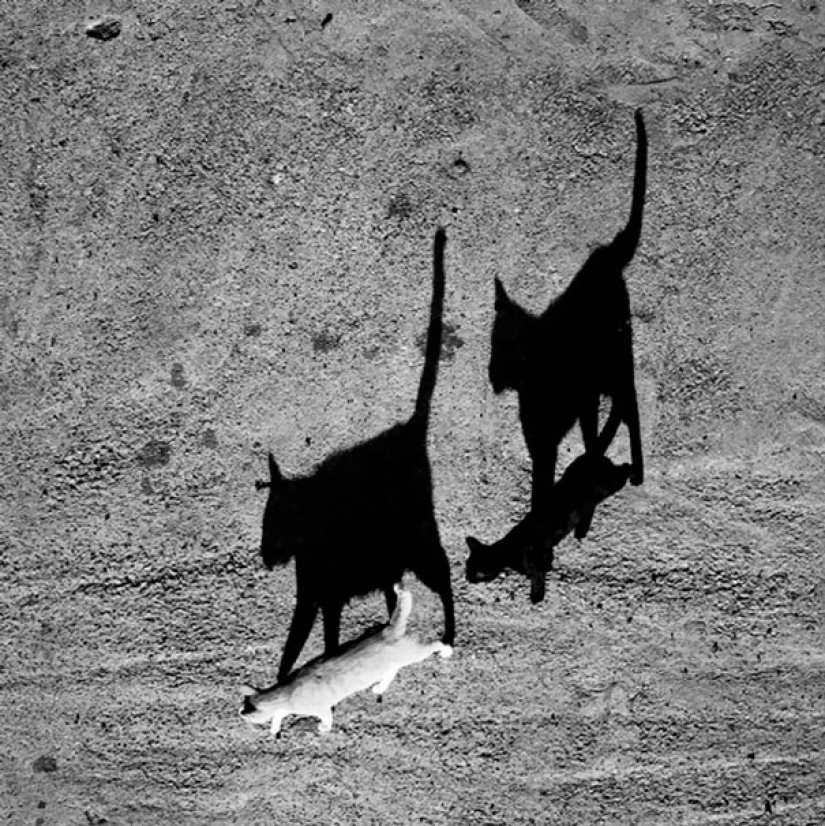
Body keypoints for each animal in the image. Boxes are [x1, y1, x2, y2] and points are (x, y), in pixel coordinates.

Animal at [240, 584, 450, 736]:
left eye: (245, 715)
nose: (239, 714)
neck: (287, 691)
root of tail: (389, 629)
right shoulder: (287, 706)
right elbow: (279, 714)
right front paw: (275, 728)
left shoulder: (322, 709)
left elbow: (326, 719)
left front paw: (324, 729)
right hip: (390, 662)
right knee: (391, 671)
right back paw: (380, 687)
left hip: (414, 654)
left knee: (434, 644)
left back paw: (446, 649)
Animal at [254, 229, 454, 680]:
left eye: (277, 519)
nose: (265, 558)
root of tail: (410, 433)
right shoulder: (321, 595)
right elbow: (316, 644)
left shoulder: (321, 593)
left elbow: (310, 644)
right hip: (394, 555)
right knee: (397, 595)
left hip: (417, 536)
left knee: (444, 573)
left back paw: (448, 635)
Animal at [464, 454, 632, 600]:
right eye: (467, 568)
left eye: (477, 574)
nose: (467, 579)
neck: (507, 548)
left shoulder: (535, 555)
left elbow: (537, 573)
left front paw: (537, 595)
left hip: (607, 485)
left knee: (622, 473)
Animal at [490, 108, 644, 508]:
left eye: (506, 347)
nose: (491, 377)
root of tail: (604, 260)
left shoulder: (577, 398)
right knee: (622, 403)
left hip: (616, 355)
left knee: (629, 402)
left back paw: (631, 469)